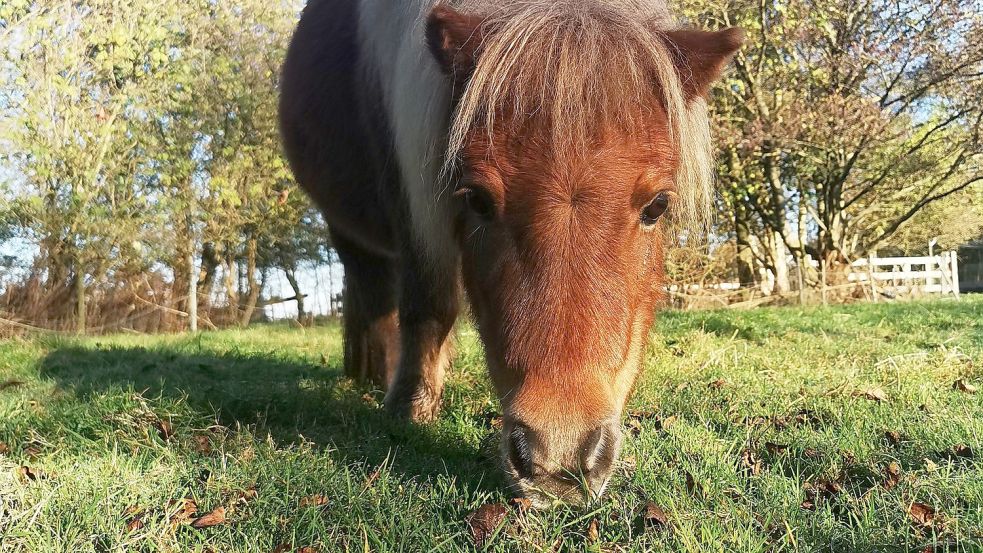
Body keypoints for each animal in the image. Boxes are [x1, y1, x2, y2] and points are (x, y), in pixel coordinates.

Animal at [280, 0, 740, 502]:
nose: (558, 459)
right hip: (349, 234)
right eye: (478, 198)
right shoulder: (412, 204)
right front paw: (410, 409)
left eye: (658, 205)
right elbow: (428, 307)